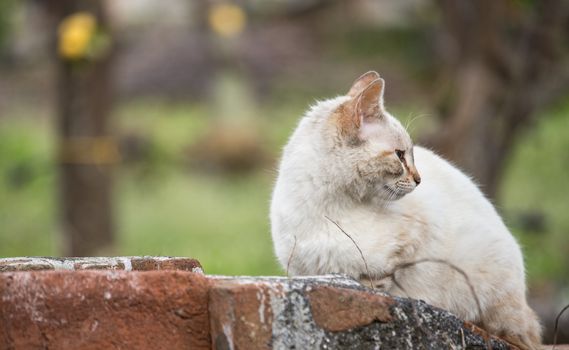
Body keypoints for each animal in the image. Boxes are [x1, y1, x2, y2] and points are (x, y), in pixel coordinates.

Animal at [270, 72, 540, 350]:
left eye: (409, 155)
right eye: (400, 156)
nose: (419, 180)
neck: (325, 208)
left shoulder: (407, 244)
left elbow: (378, 282)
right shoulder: (304, 269)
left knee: (522, 335)